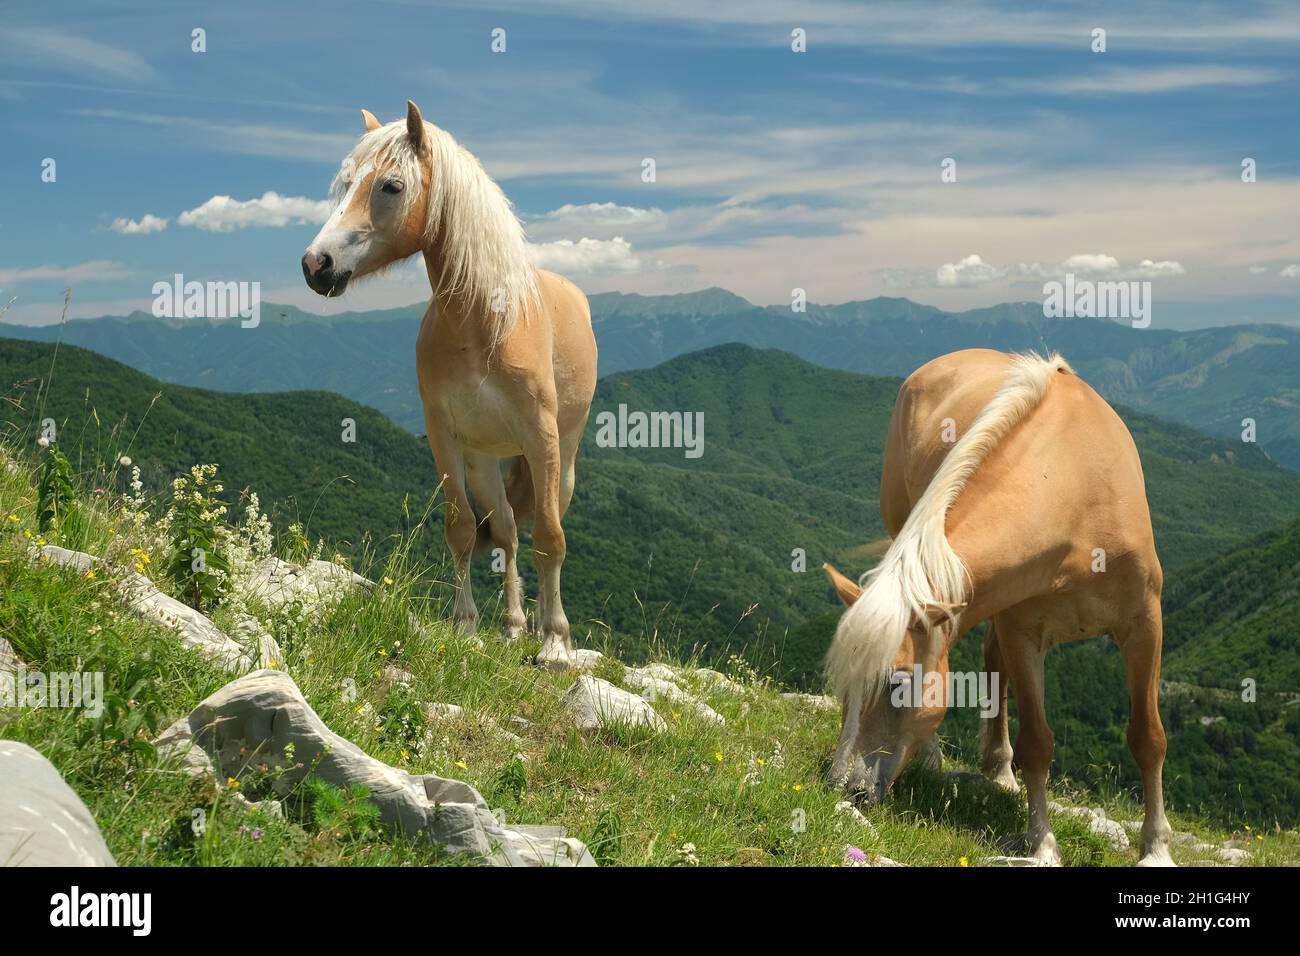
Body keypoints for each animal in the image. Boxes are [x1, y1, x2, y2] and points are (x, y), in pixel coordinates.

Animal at [301, 100, 595, 671]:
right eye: (345, 183)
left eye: (391, 186)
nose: (315, 264)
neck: (485, 322)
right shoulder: (445, 438)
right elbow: (461, 530)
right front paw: (467, 627)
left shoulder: (542, 439)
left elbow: (551, 537)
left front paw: (554, 643)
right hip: (484, 461)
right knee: (506, 531)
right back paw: (512, 626)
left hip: (563, 460)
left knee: (542, 526)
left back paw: (540, 629)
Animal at [826, 351, 1175, 868]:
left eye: (897, 683)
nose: (842, 788)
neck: (1078, 494)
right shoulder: (1022, 632)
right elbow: (1037, 744)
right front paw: (1043, 843)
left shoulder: (1144, 625)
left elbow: (1147, 738)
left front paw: (1155, 848)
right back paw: (946, 758)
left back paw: (997, 769)